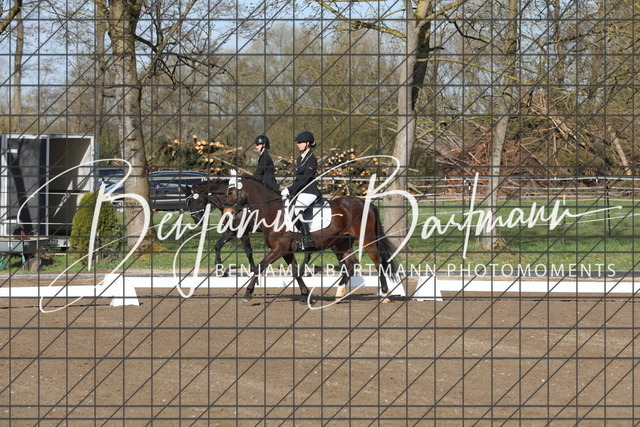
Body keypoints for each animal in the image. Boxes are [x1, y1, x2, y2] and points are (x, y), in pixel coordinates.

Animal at [223, 174, 399, 303]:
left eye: (231, 192)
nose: (226, 213)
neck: (273, 212)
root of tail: (365, 203)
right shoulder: (286, 251)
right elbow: (295, 273)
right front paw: (305, 294)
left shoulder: (279, 249)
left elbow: (260, 267)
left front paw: (248, 293)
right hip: (342, 243)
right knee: (350, 264)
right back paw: (339, 293)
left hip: (366, 240)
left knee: (378, 262)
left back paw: (385, 295)